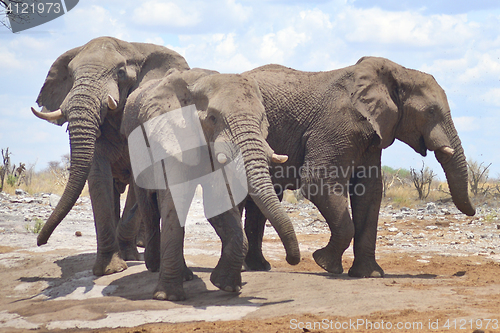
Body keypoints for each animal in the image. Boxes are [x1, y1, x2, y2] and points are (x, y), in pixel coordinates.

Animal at [31, 36, 190, 274]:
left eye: (121, 73)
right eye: (71, 75)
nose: (40, 242)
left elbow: (138, 179)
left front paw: (128, 257)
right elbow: (98, 179)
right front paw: (111, 269)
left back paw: (137, 247)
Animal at [121, 68, 300, 300]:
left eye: (262, 119)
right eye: (213, 118)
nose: (291, 260)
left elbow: (218, 201)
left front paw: (226, 286)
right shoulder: (173, 135)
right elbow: (175, 199)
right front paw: (168, 297)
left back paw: (185, 275)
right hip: (134, 145)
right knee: (149, 205)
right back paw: (155, 267)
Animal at [244, 57, 474, 278]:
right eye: (431, 111)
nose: (472, 212)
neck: (397, 72)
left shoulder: (373, 135)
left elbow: (369, 191)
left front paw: (368, 274)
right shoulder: (335, 126)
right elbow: (318, 183)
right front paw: (324, 263)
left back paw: (258, 266)